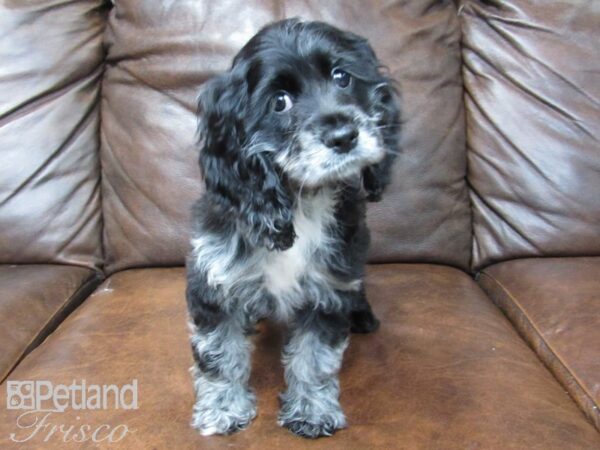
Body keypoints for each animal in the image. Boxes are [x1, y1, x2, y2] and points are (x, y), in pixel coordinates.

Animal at [186, 19, 404, 438]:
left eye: (342, 77)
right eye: (280, 102)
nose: (344, 136)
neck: (301, 202)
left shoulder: (330, 287)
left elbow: (314, 358)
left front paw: (312, 411)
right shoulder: (215, 283)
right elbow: (219, 353)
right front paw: (223, 409)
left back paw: (363, 317)